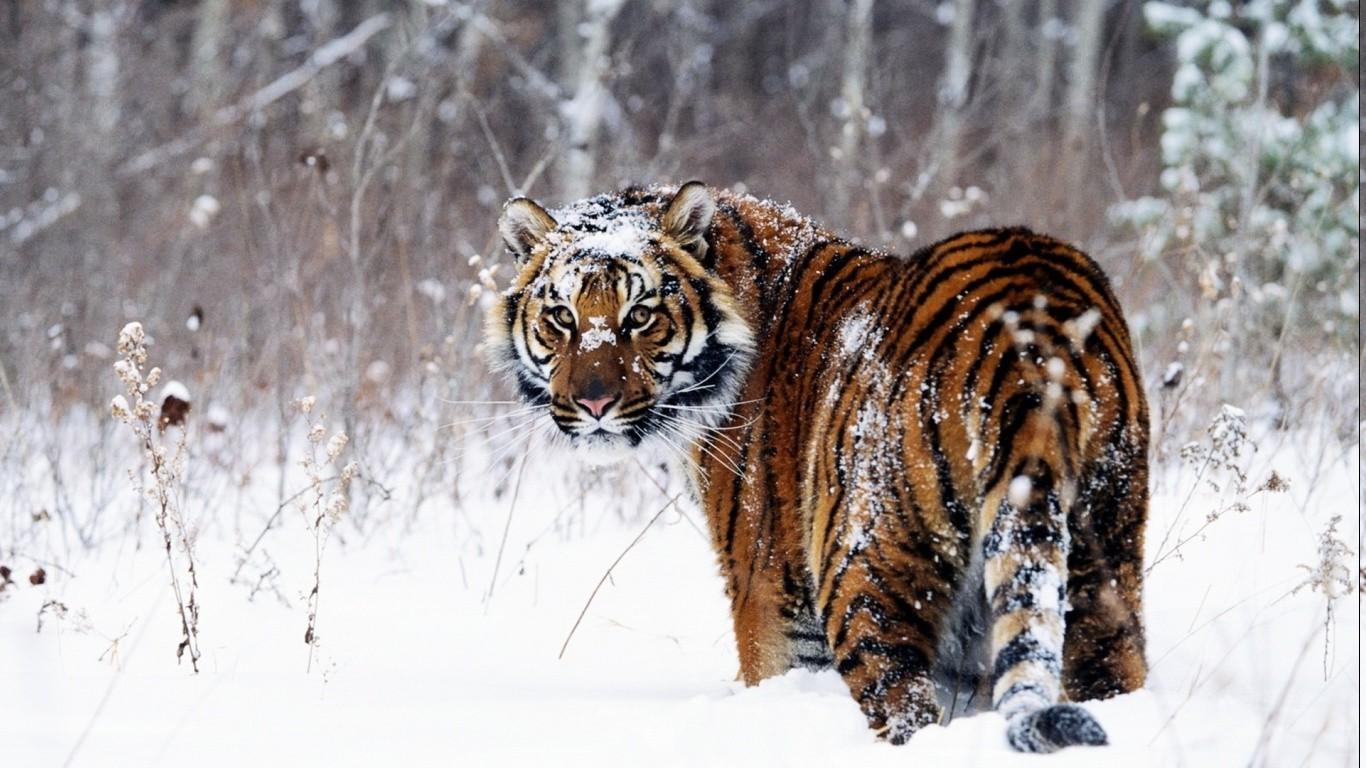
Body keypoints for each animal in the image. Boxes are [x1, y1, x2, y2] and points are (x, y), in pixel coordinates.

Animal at [486, 181, 1148, 752]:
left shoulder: (770, 595)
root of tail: (1029, 333)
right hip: (1103, 560)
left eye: (641, 316)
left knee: (906, 709)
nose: (594, 404)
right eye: (562, 318)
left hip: (864, 572)